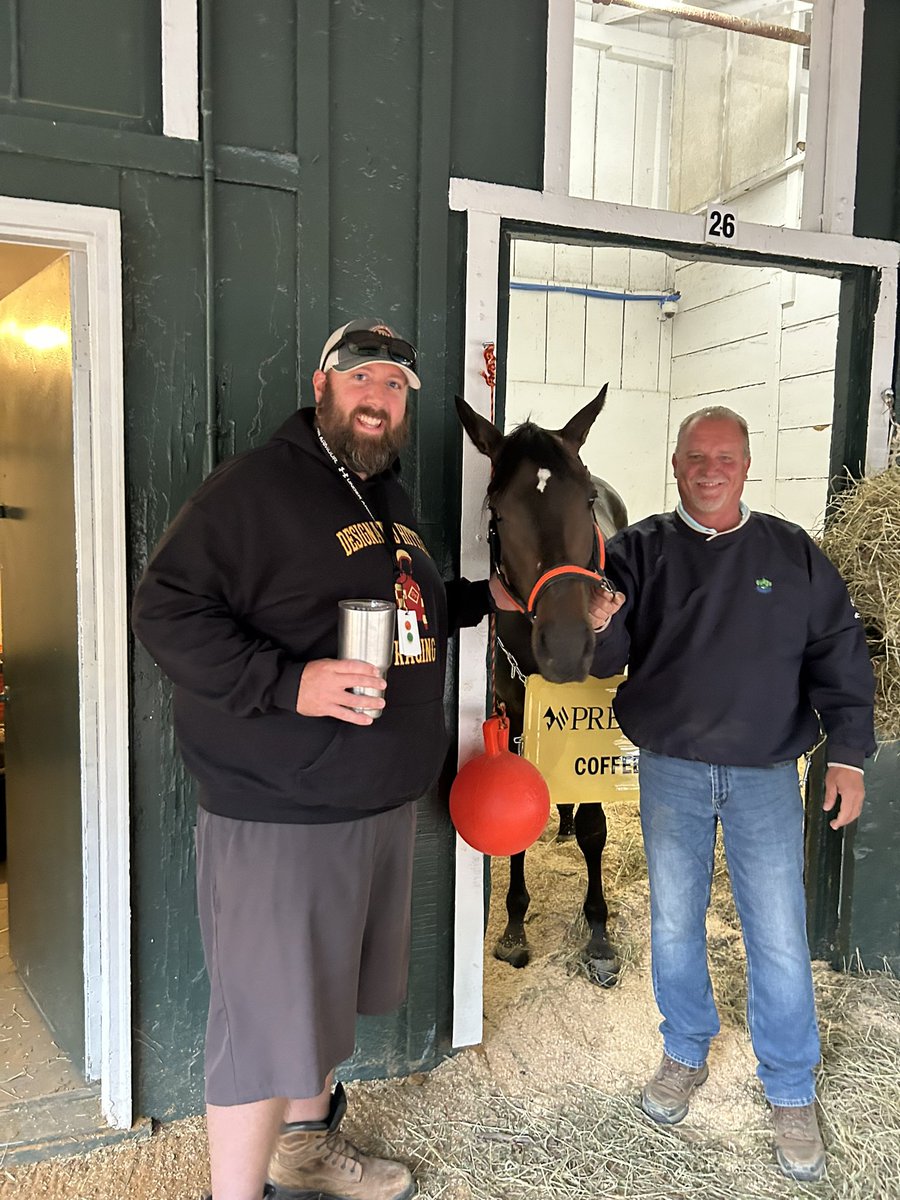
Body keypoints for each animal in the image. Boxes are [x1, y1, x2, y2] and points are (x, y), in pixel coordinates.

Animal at [458, 386, 628, 984]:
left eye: (586, 502)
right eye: (499, 513)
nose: (567, 645)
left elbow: (597, 828)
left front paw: (598, 936)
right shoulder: (512, 715)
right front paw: (513, 928)